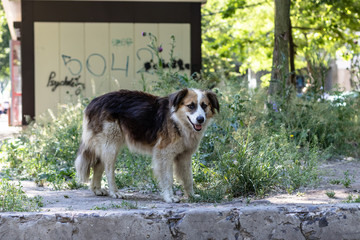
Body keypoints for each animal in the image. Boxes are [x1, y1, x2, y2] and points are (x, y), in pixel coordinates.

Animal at [74, 88, 218, 202]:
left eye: (204, 106)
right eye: (191, 106)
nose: (200, 119)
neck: (177, 120)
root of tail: (93, 102)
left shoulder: (184, 156)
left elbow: (188, 179)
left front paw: (192, 196)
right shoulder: (164, 154)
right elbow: (168, 178)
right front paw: (169, 197)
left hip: (105, 146)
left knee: (98, 165)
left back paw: (97, 189)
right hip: (111, 144)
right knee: (109, 170)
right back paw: (115, 192)